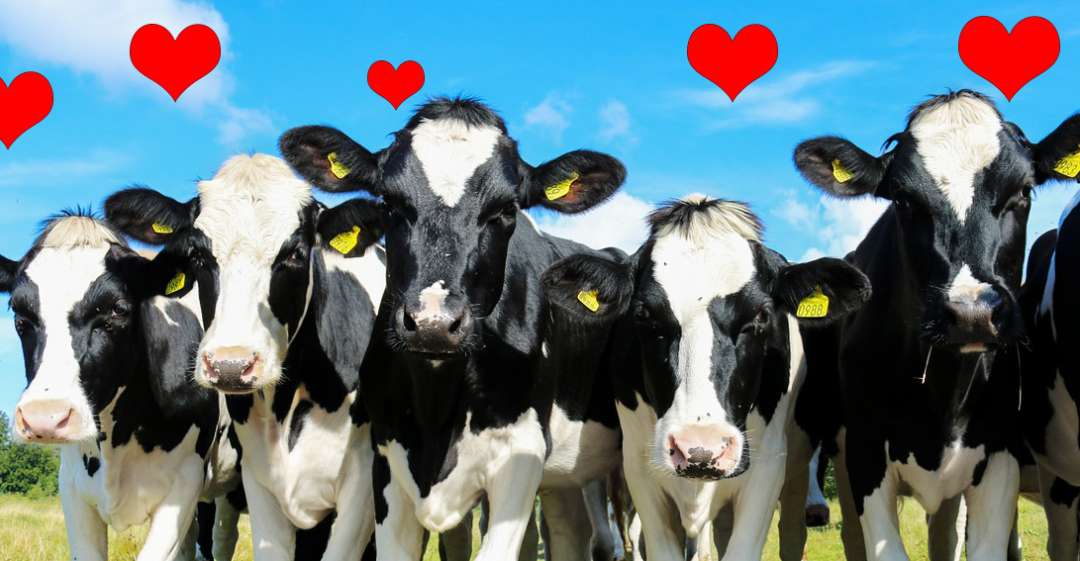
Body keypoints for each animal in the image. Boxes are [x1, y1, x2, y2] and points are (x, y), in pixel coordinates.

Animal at [278, 97, 627, 561]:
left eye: (506, 210)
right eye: (389, 203)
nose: (434, 324)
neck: (436, 412)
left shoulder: (522, 454)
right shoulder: (386, 457)